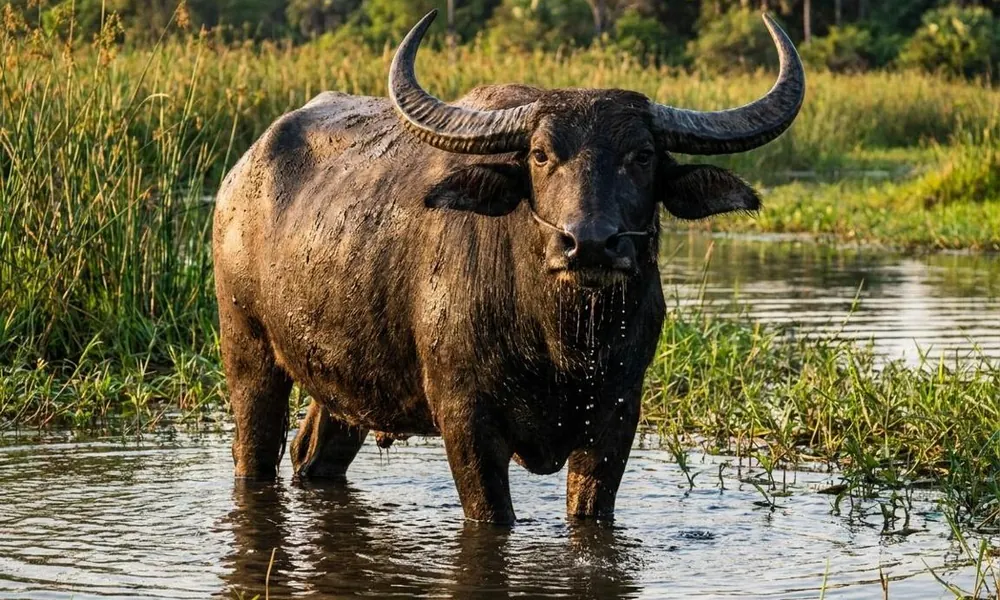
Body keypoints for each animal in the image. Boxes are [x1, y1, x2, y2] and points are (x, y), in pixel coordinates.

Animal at [213, 10, 804, 524]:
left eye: (642, 156)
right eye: (540, 155)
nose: (589, 244)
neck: (562, 340)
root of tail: (241, 175)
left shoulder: (617, 417)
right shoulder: (466, 421)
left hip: (344, 382)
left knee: (313, 455)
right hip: (247, 350)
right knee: (254, 454)